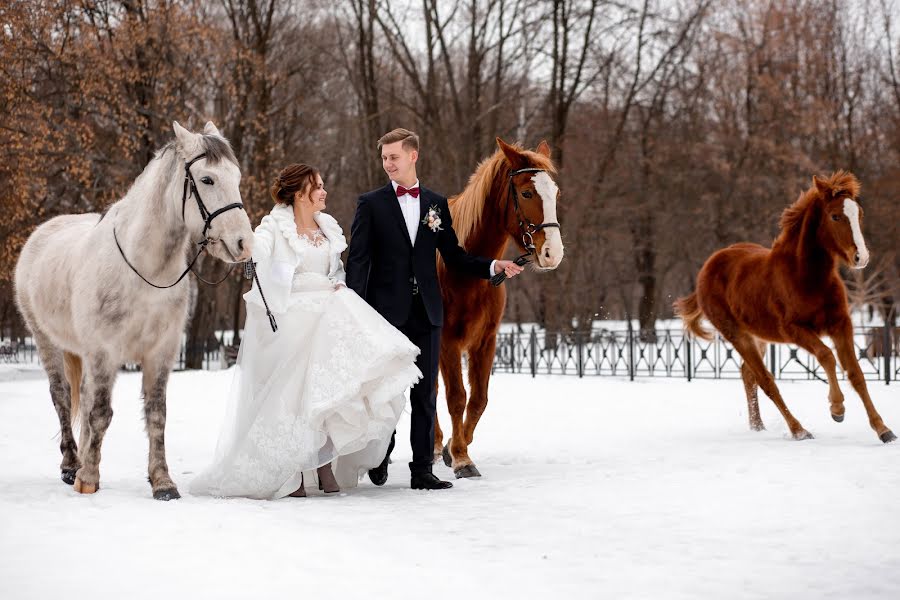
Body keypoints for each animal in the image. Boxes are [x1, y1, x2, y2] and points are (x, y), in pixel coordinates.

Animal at [434, 137, 564, 478]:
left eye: (556, 193)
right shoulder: (446, 342)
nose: (553, 252)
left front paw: (456, 447)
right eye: (527, 192)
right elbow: (456, 397)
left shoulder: (486, 341)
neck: (469, 271)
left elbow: (479, 399)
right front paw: (461, 457)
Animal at [676, 171, 892, 442]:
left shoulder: (841, 324)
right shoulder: (794, 330)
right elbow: (826, 356)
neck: (806, 276)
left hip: (757, 336)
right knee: (765, 380)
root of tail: (709, 266)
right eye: (835, 216)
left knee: (748, 374)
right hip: (735, 334)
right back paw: (799, 430)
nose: (861, 257)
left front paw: (883, 429)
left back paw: (758, 426)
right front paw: (837, 409)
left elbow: (856, 373)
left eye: (859, 214)